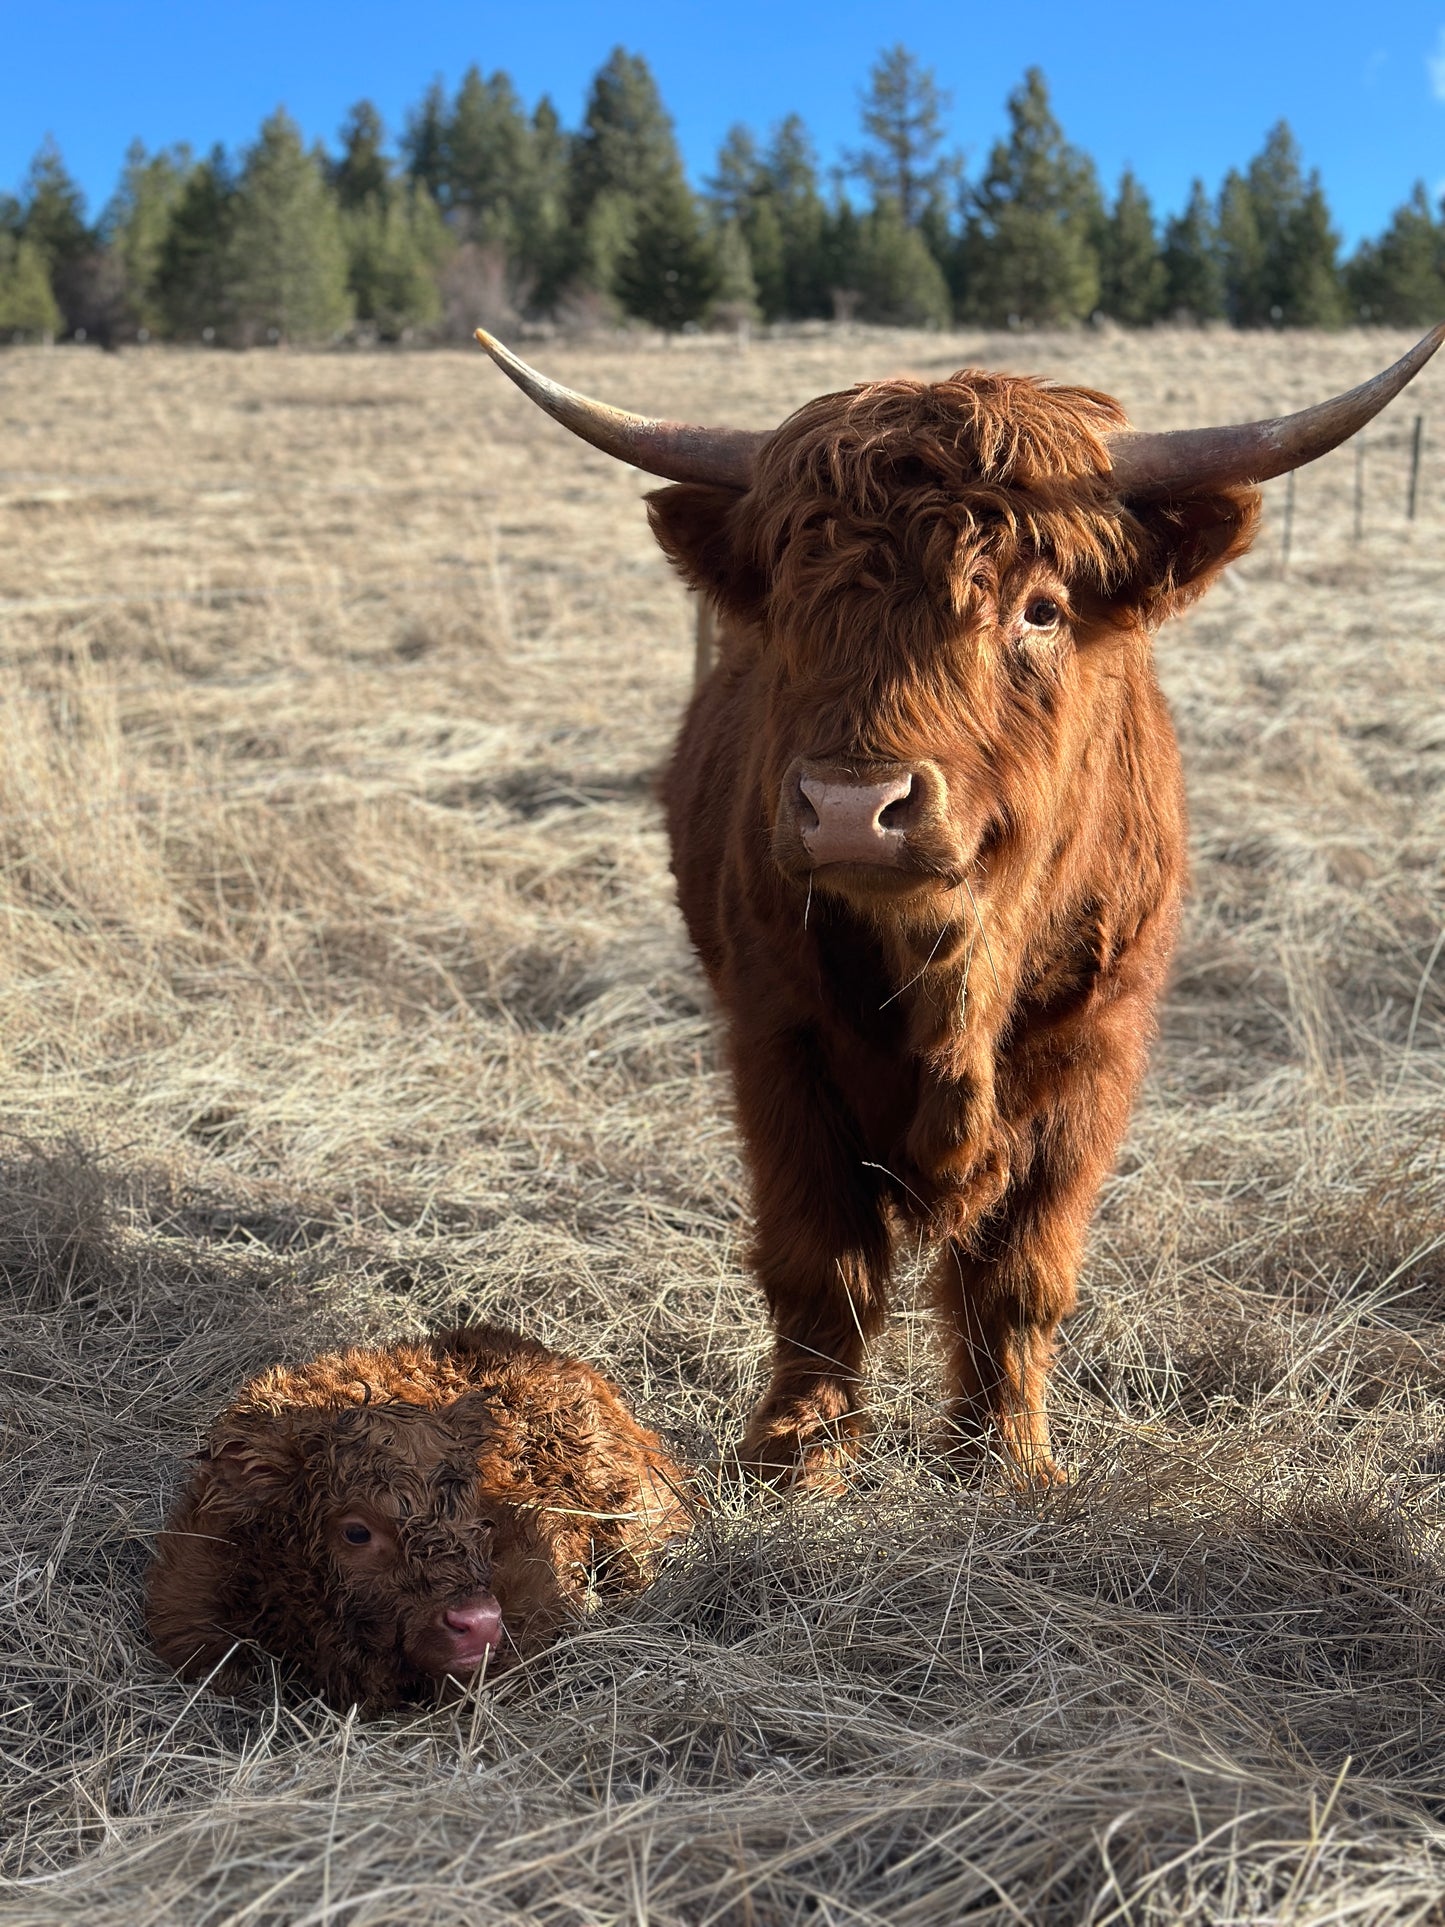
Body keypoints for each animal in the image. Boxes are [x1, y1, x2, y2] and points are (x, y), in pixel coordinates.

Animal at [473, 325, 1444, 1489]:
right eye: (792, 606)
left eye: (1040, 608)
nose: (852, 808)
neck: (951, 975)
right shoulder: (775, 1039)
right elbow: (820, 1261)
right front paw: (796, 1449)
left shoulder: (1095, 1047)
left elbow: (1021, 1271)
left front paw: (1009, 1455)